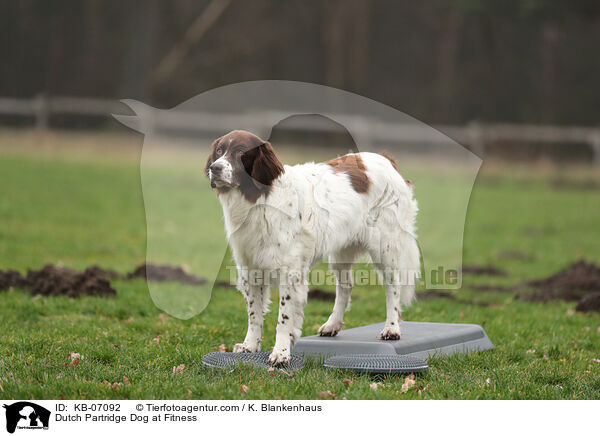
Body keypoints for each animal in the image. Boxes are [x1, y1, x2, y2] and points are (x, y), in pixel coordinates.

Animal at [209, 129, 420, 364]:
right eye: (219, 150)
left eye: (240, 152)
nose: (214, 168)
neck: (259, 199)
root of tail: (386, 159)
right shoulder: (250, 268)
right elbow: (254, 313)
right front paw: (250, 345)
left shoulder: (290, 272)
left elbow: (284, 318)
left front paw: (280, 353)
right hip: (341, 252)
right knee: (346, 286)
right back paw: (332, 324)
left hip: (385, 248)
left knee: (393, 287)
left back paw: (392, 328)